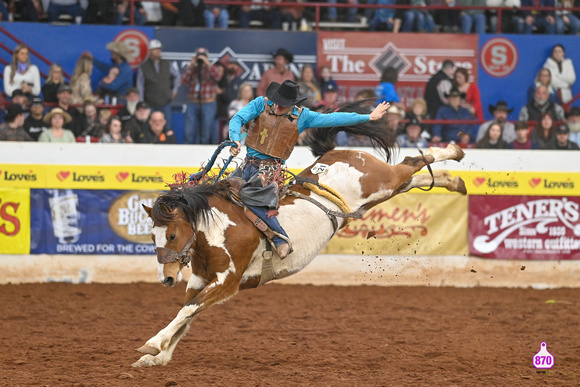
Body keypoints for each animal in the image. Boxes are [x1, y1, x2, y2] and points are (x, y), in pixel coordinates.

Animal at [135, 110, 466, 368]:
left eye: (172, 234)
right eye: (152, 235)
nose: (166, 278)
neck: (218, 229)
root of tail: (339, 153)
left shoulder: (227, 282)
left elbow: (187, 311)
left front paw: (152, 345)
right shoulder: (200, 280)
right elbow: (186, 315)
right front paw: (157, 357)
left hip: (381, 180)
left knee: (411, 162)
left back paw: (454, 151)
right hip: (382, 192)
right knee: (412, 175)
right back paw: (454, 181)